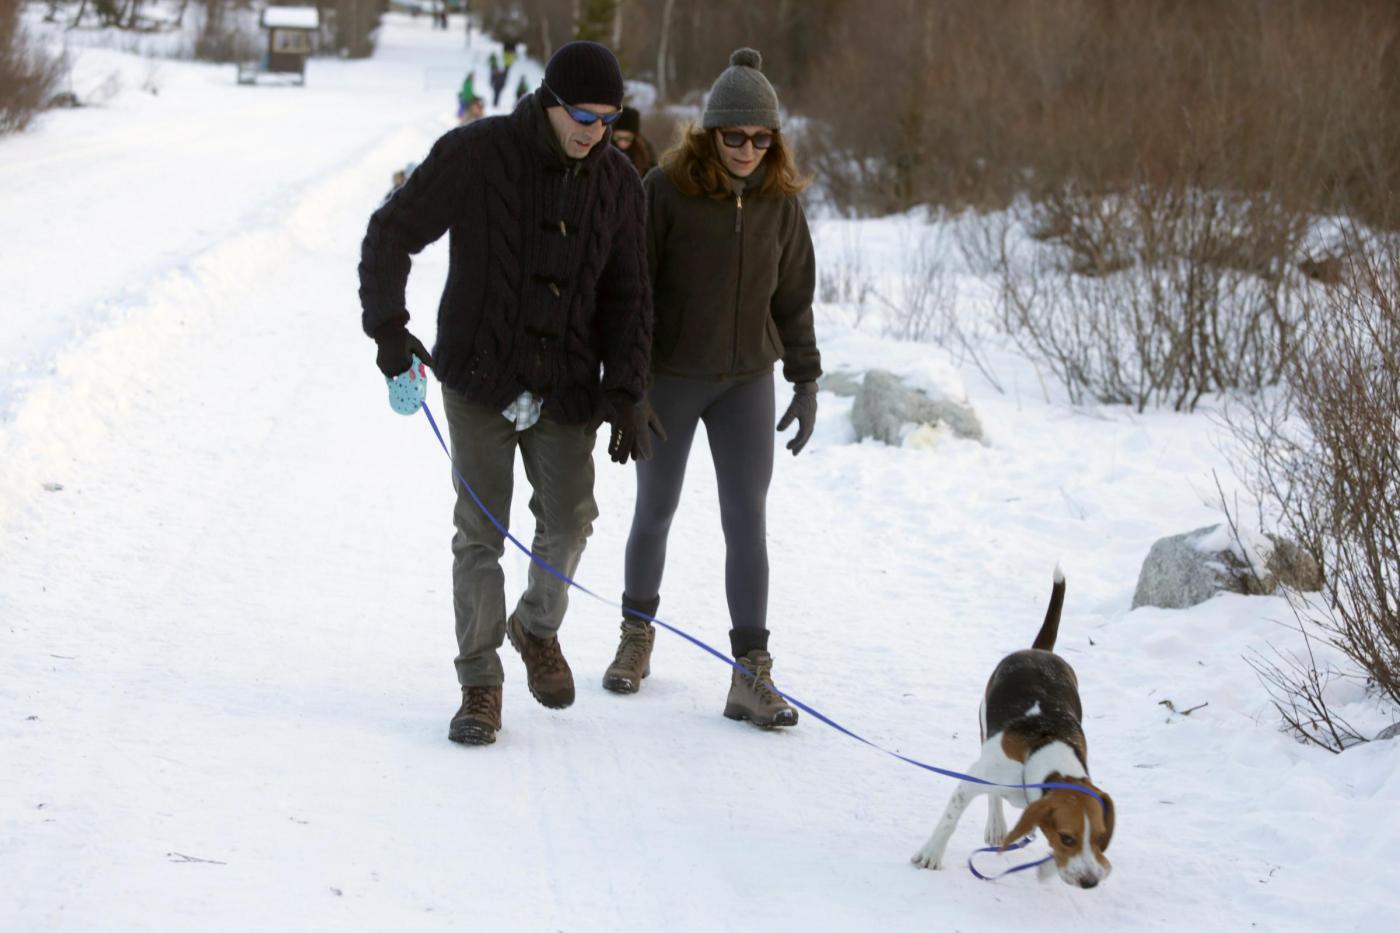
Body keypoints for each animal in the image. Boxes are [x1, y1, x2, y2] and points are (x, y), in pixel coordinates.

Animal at [907, 565, 1114, 885]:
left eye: (1099, 838)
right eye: (1067, 838)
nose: (1090, 882)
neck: (1044, 745)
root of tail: (1039, 651)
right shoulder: (973, 778)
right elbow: (950, 819)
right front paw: (931, 854)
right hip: (983, 725)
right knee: (994, 796)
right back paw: (996, 825)